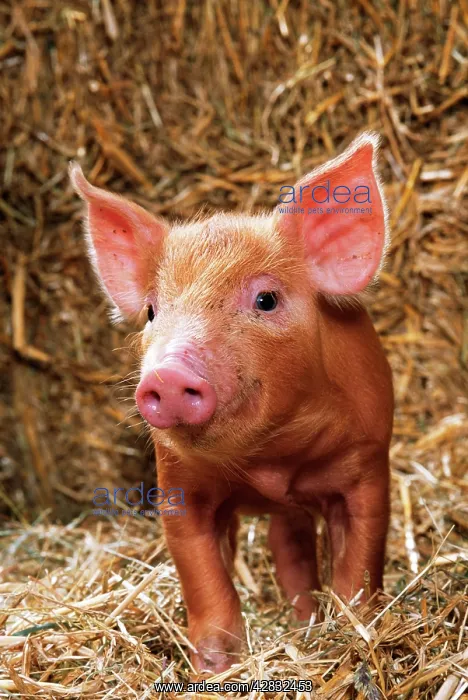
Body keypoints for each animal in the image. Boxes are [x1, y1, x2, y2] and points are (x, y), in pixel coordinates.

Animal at [70, 132, 393, 674]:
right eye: (153, 311)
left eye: (266, 299)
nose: (168, 374)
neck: (271, 461)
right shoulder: (179, 485)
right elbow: (204, 578)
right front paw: (217, 666)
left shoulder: (367, 465)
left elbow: (358, 565)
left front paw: (354, 633)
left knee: (290, 548)